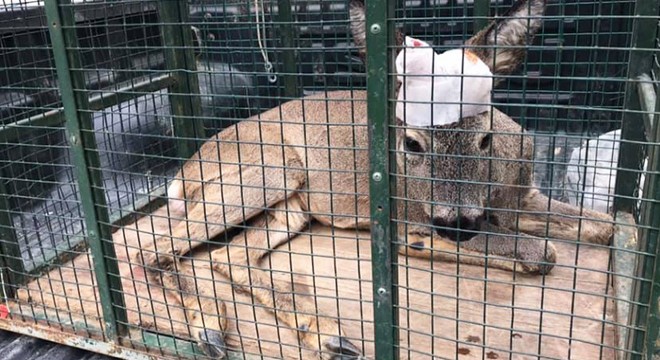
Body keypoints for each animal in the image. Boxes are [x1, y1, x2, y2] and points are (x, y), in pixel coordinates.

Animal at [137, 1, 616, 358]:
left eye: (485, 138)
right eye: (412, 142)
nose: (456, 226)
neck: (499, 191)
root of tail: (182, 175)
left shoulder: (523, 199)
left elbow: (605, 225)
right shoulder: (411, 214)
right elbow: (543, 252)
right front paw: (429, 244)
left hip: (288, 206)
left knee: (229, 255)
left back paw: (321, 331)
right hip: (272, 171)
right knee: (155, 248)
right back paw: (211, 328)